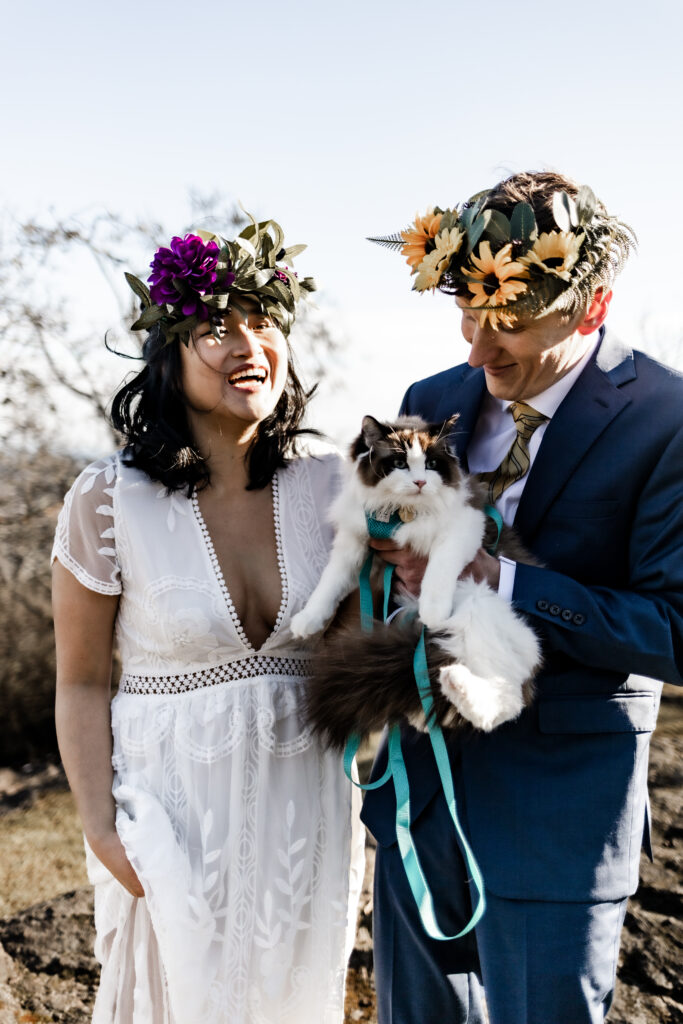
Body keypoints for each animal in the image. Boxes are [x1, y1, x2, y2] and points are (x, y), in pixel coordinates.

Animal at [290, 413, 540, 745]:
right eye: (399, 463)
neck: (401, 512)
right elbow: (328, 586)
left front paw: (432, 610)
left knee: (505, 700)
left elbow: (438, 570)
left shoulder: (463, 526)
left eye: (432, 464)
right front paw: (306, 621)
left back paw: (456, 681)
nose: (420, 482)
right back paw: (443, 695)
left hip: (480, 610)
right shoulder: (353, 545)